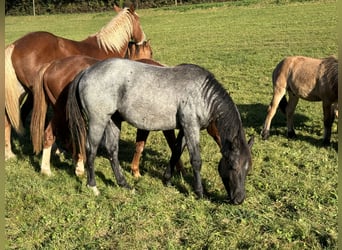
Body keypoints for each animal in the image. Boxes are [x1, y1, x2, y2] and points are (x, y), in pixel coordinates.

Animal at [4, 3, 146, 160]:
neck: (108, 48)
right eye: (138, 20)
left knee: (10, 118)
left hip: (21, 92)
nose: (144, 39)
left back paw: (10, 152)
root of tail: (15, 45)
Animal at [67, 57, 254, 204]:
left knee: (112, 151)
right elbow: (196, 160)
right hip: (98, 121)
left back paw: (124, 184)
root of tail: (86, 71)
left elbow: (176, 152)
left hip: (113, 120)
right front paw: (199, 192)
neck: (202, 94)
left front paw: (167, 179)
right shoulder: (191, 127)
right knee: (91, 150)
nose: (239, 199)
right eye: (233, 165)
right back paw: (93, 186)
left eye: (248, 168)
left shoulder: (184, 129)